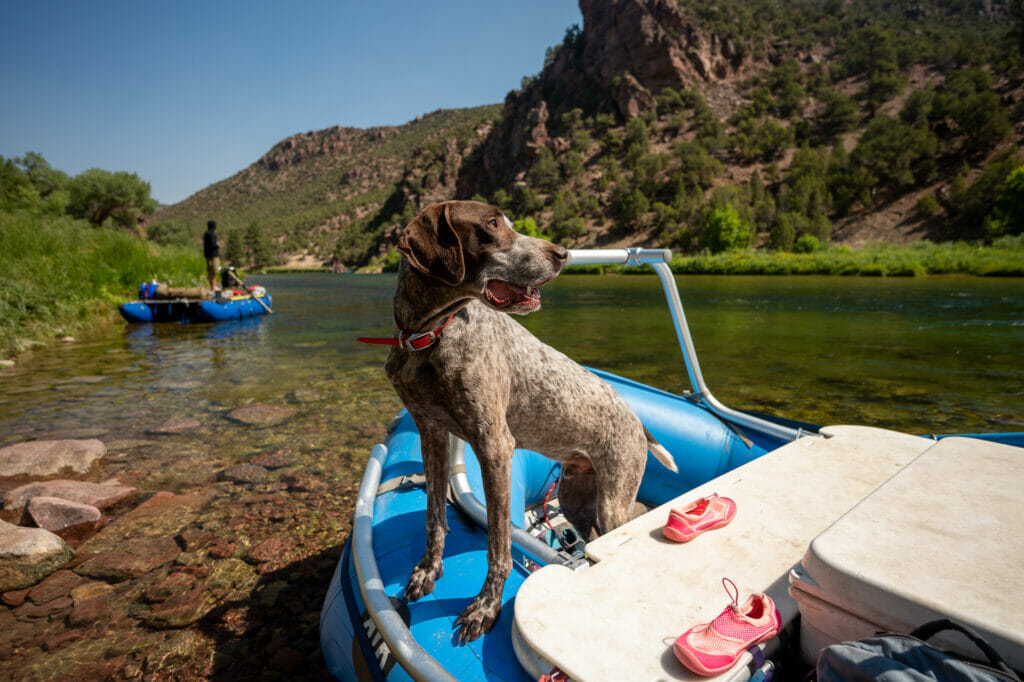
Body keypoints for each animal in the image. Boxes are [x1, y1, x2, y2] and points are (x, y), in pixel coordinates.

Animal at [380, 199, 675, 638]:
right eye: (491, 223)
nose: (563, 254)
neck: (429, 336)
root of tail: (637, 420)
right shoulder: (429, 432)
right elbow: (435, 518)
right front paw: (426, 572)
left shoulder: (494, 447)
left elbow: (498, 547)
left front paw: (485, 608)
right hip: (575, 496)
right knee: (588, 537)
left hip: (614, 499)